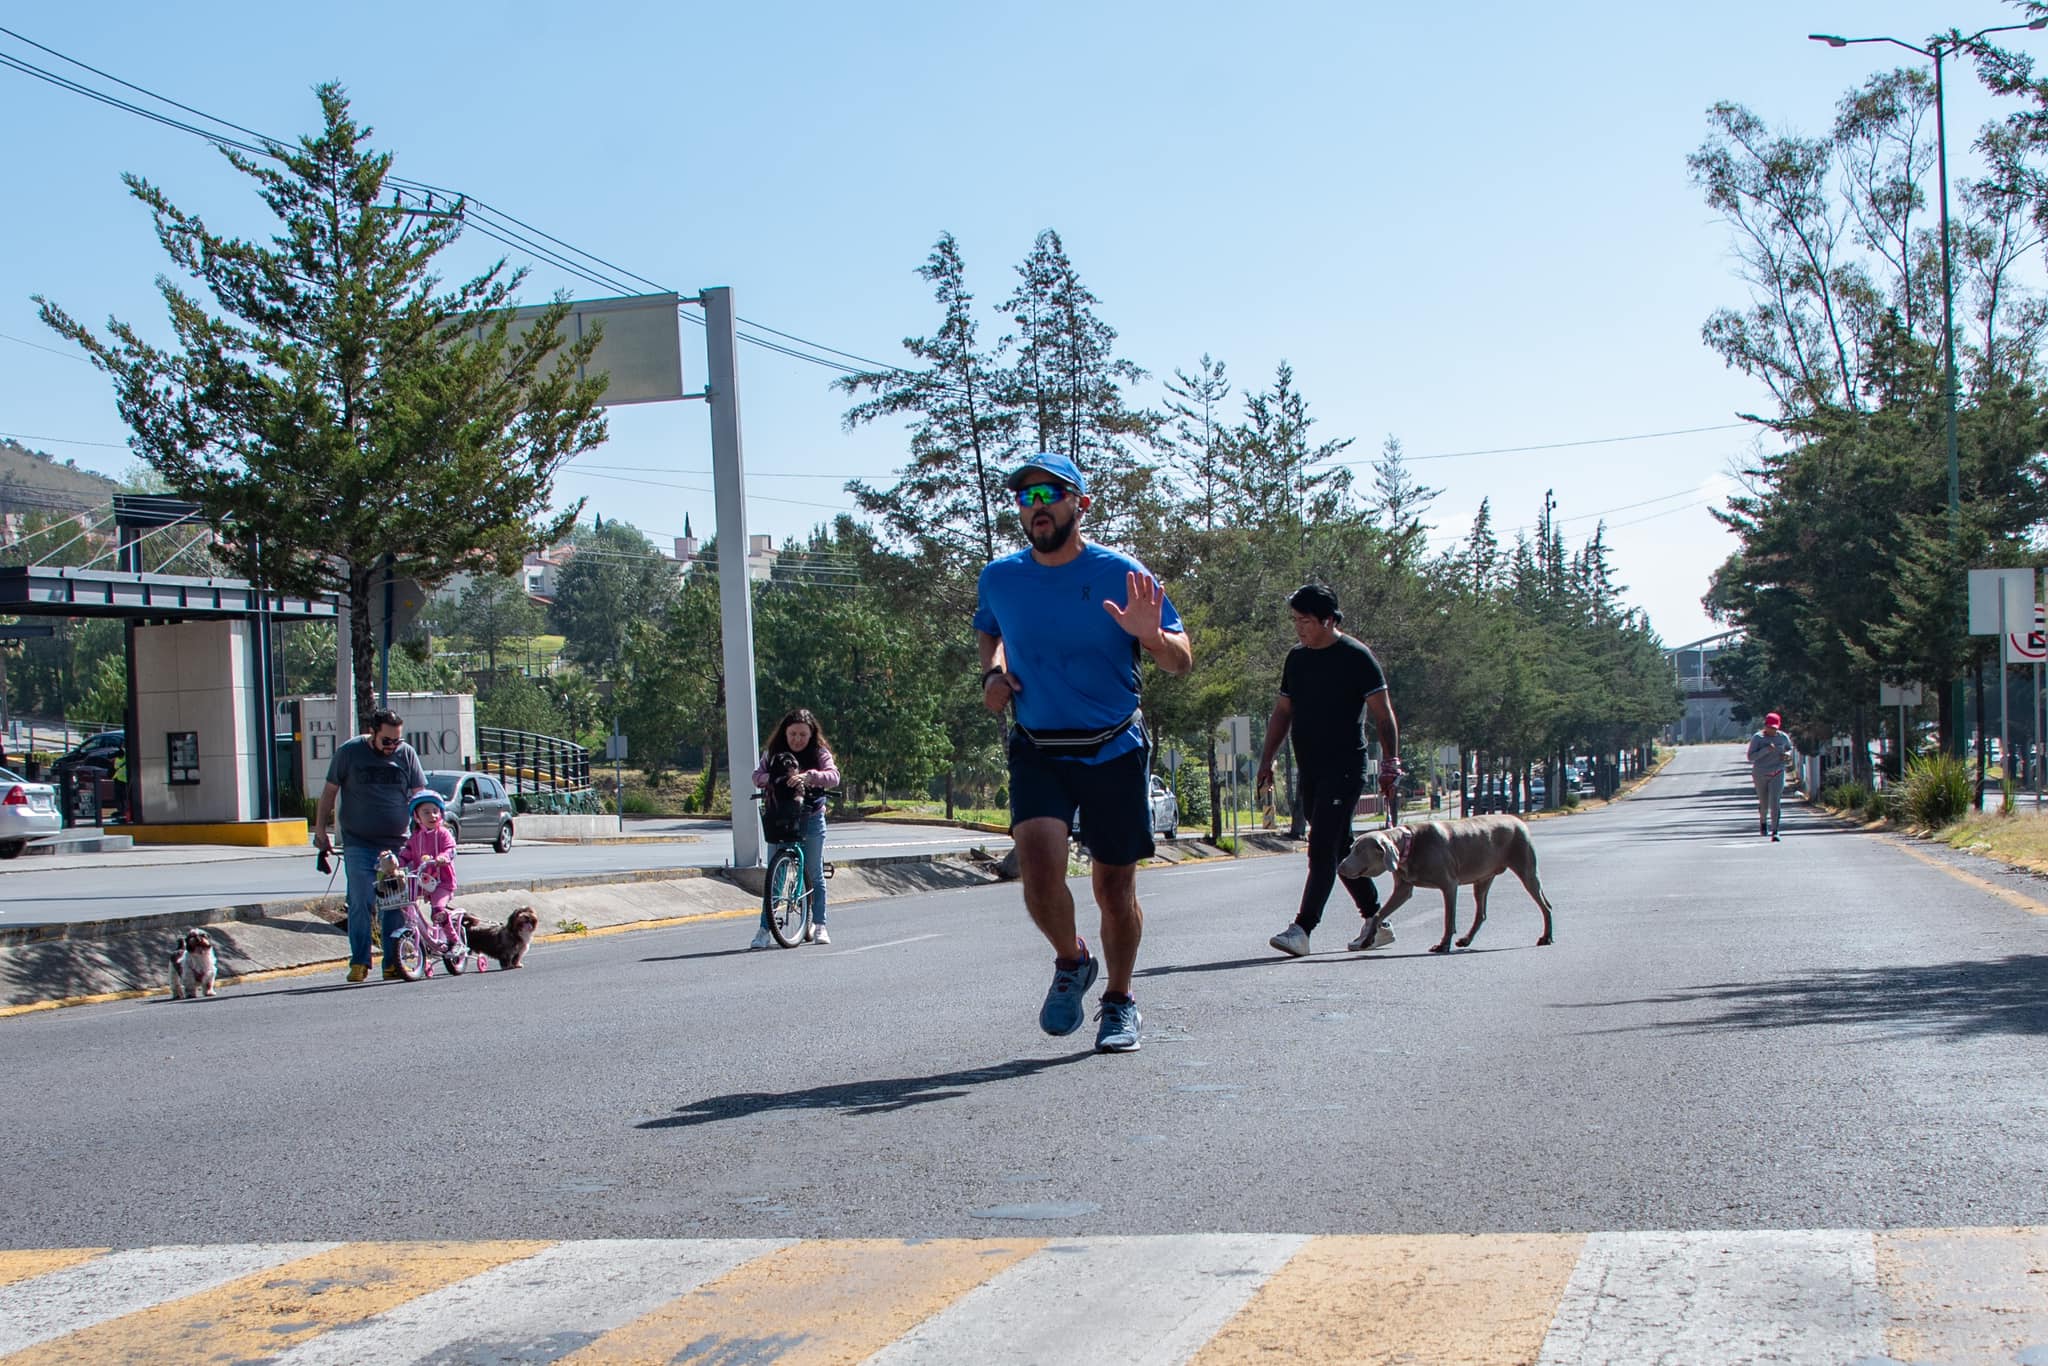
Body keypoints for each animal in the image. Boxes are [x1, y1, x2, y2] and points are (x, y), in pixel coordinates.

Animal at [1335, 819, 1556, 958]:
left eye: (1359, 850)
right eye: (1352, 848)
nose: (1339, 867)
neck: (1410, 846)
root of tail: (1519, 820)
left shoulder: (1449, 885)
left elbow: (1449, 919)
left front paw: (1443, 945)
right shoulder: (1403, 889)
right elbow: (1379, 914)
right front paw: (1367, 939)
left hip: (1526, 868)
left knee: (1546, 906)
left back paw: (1546, 937)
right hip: (1483, 878)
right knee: (1481, 912)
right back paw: (1466, 940)